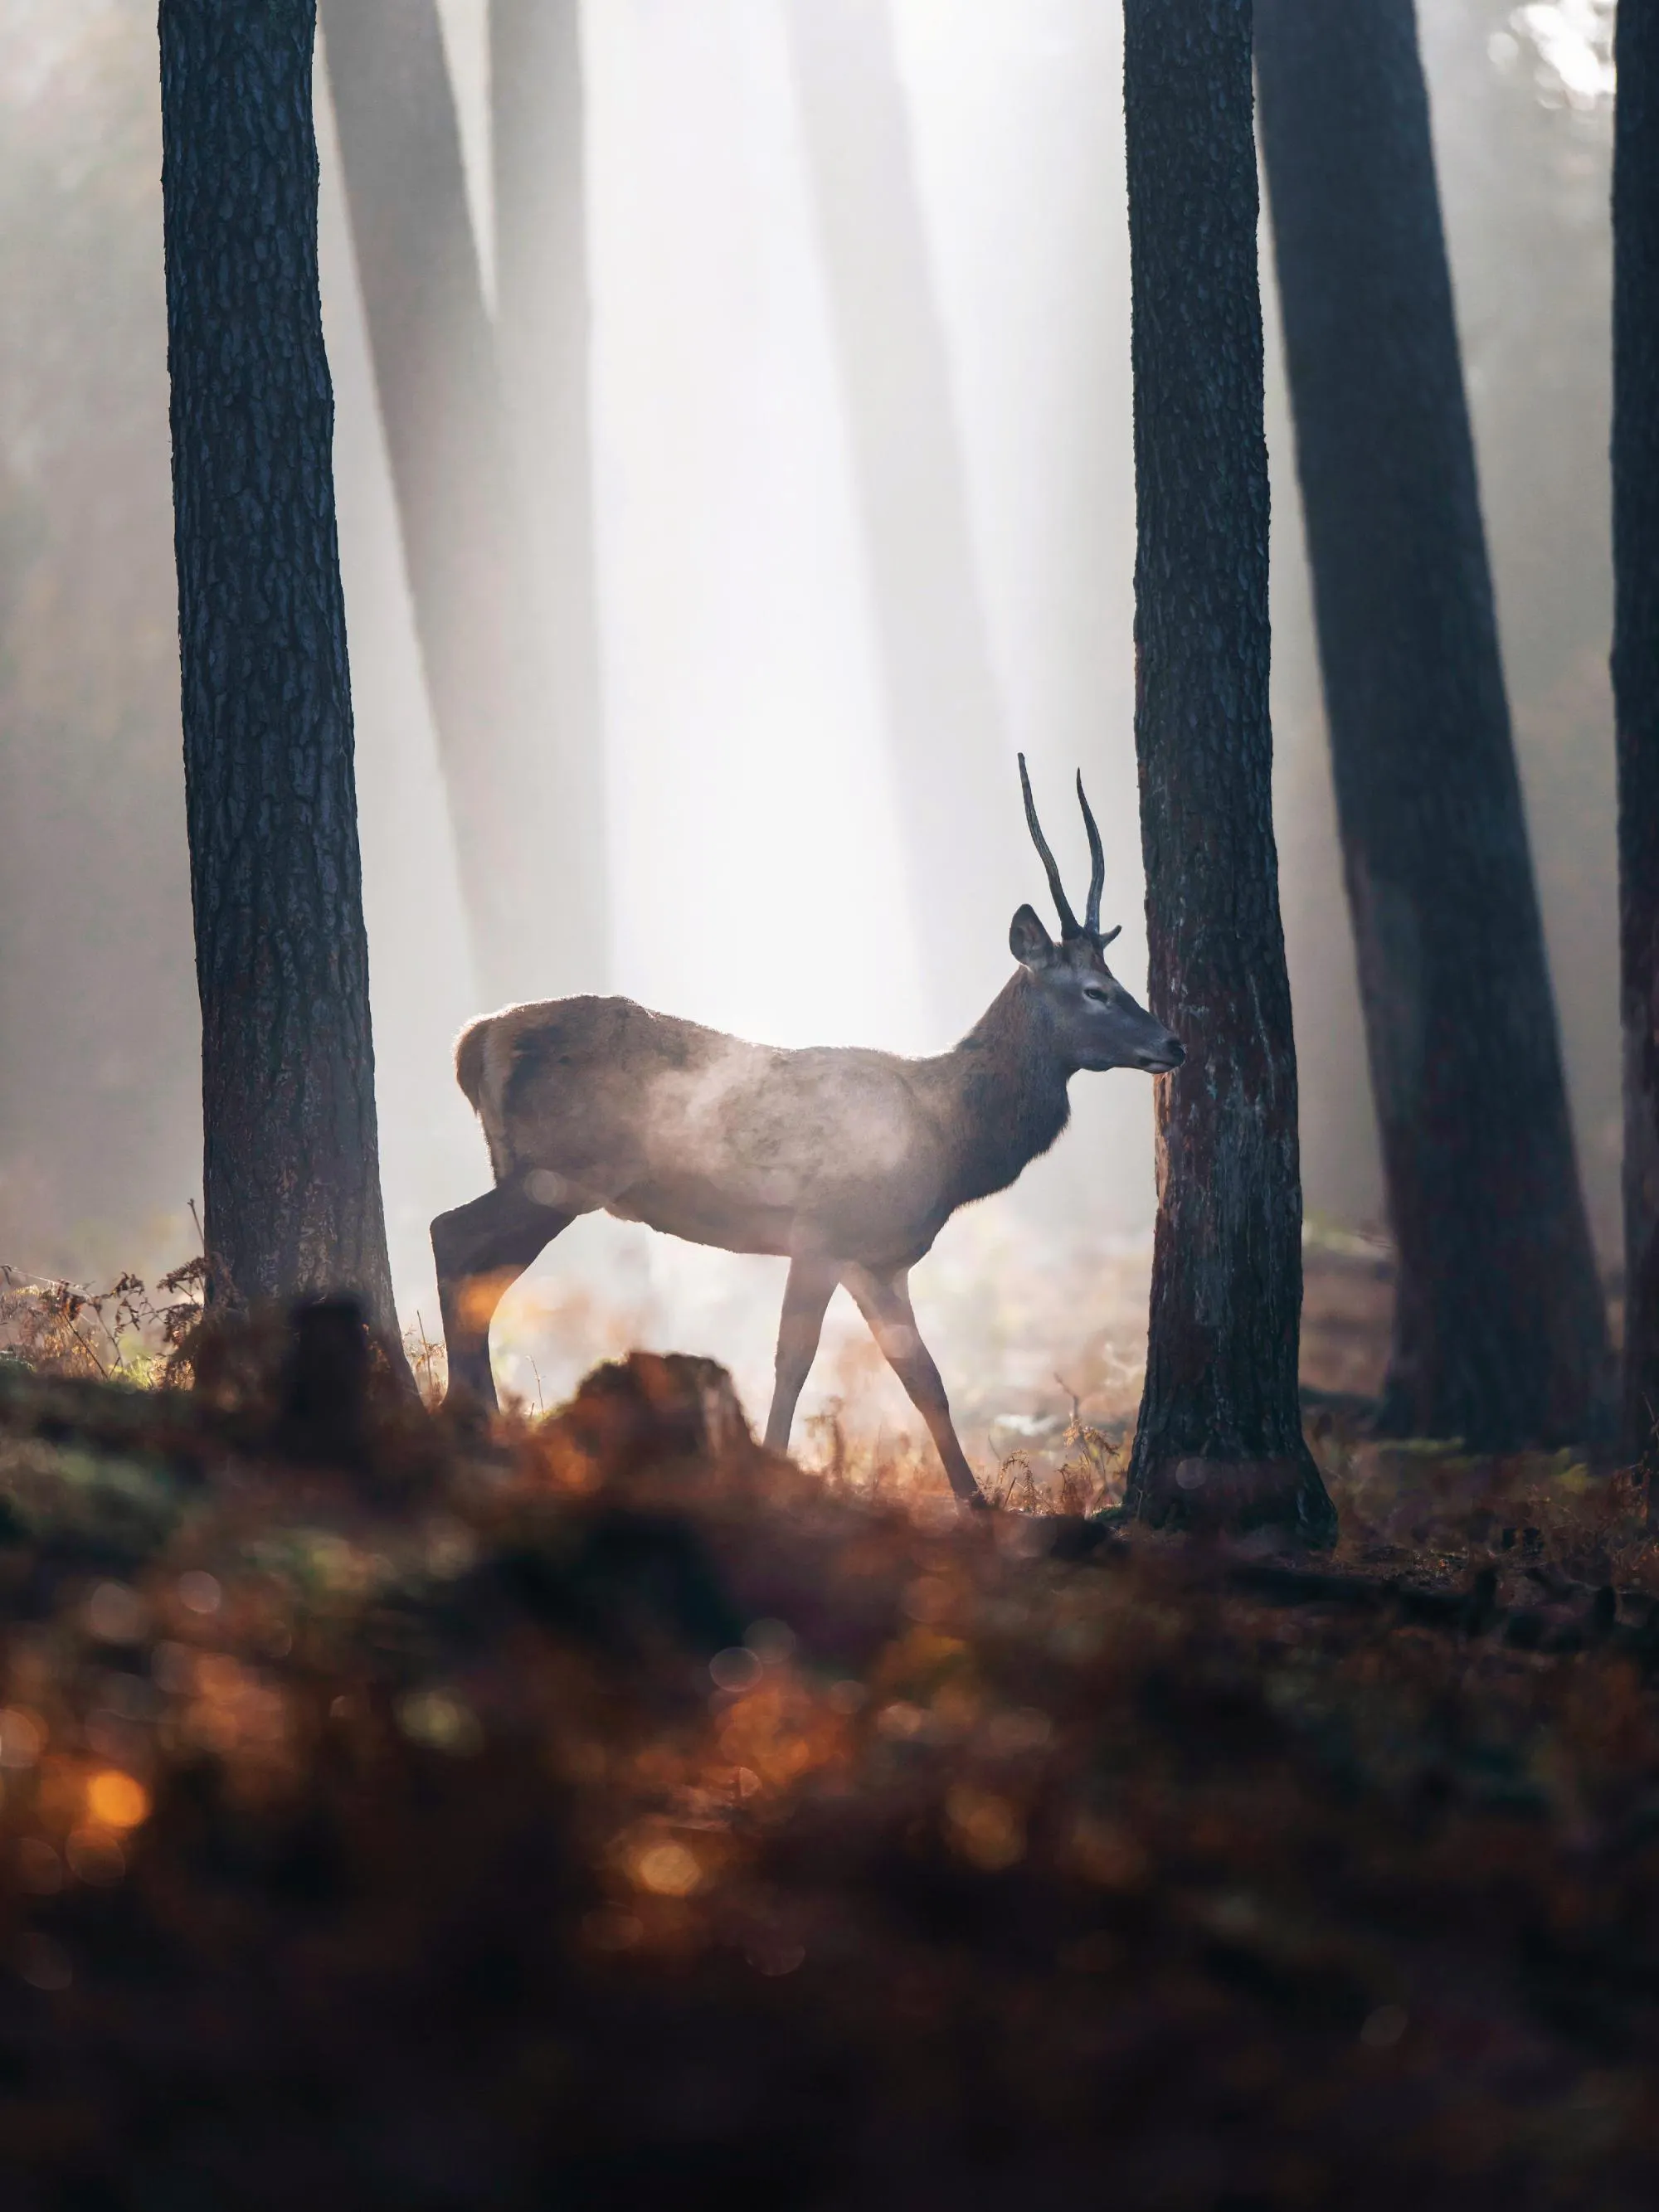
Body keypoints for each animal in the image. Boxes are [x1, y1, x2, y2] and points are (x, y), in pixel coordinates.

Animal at [431, 757, 1184, 1508]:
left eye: (1116, 978)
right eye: (1095, 991)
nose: (1172, 1042)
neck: (949, 1141)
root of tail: (474, 1040)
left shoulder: (877, 1259)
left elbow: (925, 1378)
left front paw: (976, 1503)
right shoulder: (822, 1229)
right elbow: (794, 1358)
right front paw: (771, 1471)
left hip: (539, 1171)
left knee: (479, 1271)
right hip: (563, 1170)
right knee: (451, 1234)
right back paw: (470, 1423)